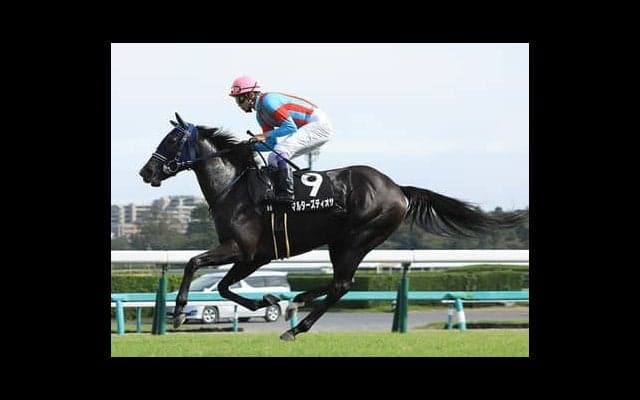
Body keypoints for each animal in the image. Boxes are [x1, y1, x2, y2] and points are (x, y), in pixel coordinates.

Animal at [139, 113, 527, 340]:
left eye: (171, 141)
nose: (147, 171)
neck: (234, 186)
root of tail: (398, 189)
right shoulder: (254, 256)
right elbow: (221, 287)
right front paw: (266, 299)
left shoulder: (244, 249)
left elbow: (194, 265)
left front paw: (177, 314)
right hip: (344, 242)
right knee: (339, 283)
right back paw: (299, 300)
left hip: (355, 238)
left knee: (342, 284)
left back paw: (296, 327)